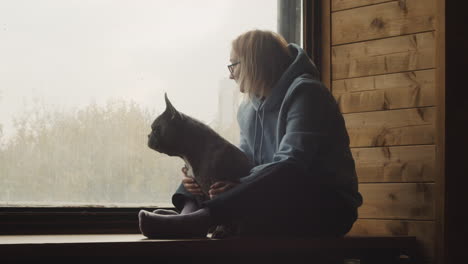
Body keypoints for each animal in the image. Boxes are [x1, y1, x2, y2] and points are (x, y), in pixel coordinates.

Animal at [148, 94, 254, 238]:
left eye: (155, 128)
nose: (148, 135)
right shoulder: (198, 188)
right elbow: (204, 206)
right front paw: (211, 227)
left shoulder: (216, 187)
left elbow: (221, 209)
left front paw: (220, 230)